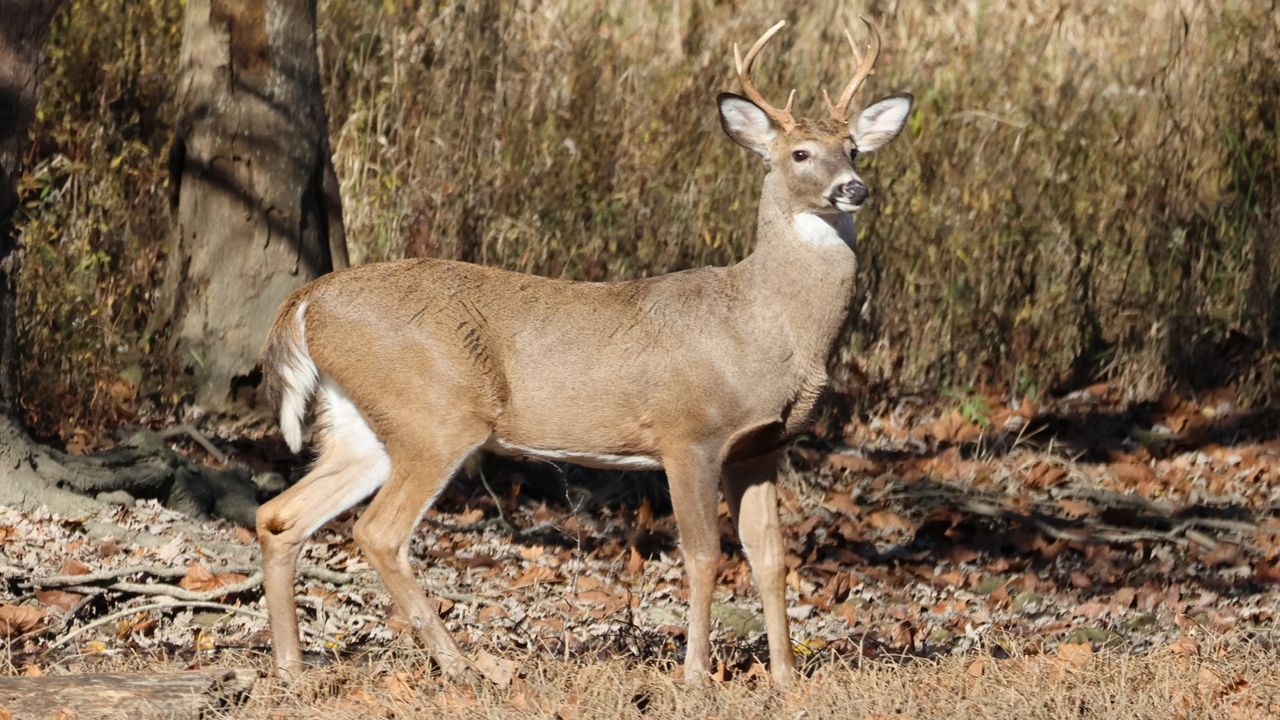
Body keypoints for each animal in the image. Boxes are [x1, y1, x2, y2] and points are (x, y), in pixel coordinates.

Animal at [252, 15, 911, 676]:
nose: (853, 188)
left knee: (280, 515)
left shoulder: (761, 447)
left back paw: (291, 668)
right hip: (436, 412)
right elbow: (703, 555)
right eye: (800, 153)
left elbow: (770, 558)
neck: (765, 325)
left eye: (853, 147)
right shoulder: (688, 431)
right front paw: (696, 675)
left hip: (364, 421)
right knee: (378, 531)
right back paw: (466, 667)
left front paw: (785, 679)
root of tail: (307, 300)